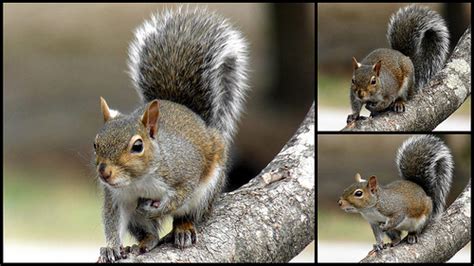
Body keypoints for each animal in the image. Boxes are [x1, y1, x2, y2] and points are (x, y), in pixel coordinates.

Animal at [92, 7, 248, 262]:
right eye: (95, 144)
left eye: (137, 146)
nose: (104, 173)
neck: (139, 181)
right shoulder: (116, 197)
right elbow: (112, 220)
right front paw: (111, 247)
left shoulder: (185, 170)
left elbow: (179, 196)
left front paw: (160, 208)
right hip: (136, 219)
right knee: (148, 231)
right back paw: (145, 241)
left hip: (207, 190)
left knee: (188, 214)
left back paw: (183, 229)